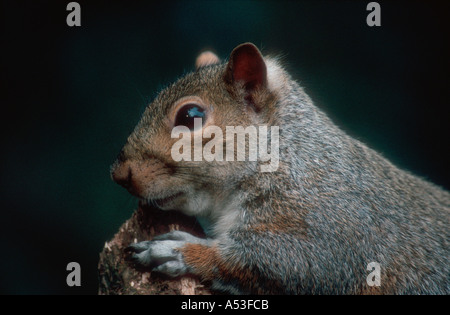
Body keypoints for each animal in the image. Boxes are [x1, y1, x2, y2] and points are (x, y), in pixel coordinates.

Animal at [110, 43, 450, 296]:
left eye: (190, 115)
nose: (119, 173)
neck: (286, 155)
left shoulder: (331, 223)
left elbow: (297, 263)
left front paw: (181, 250)